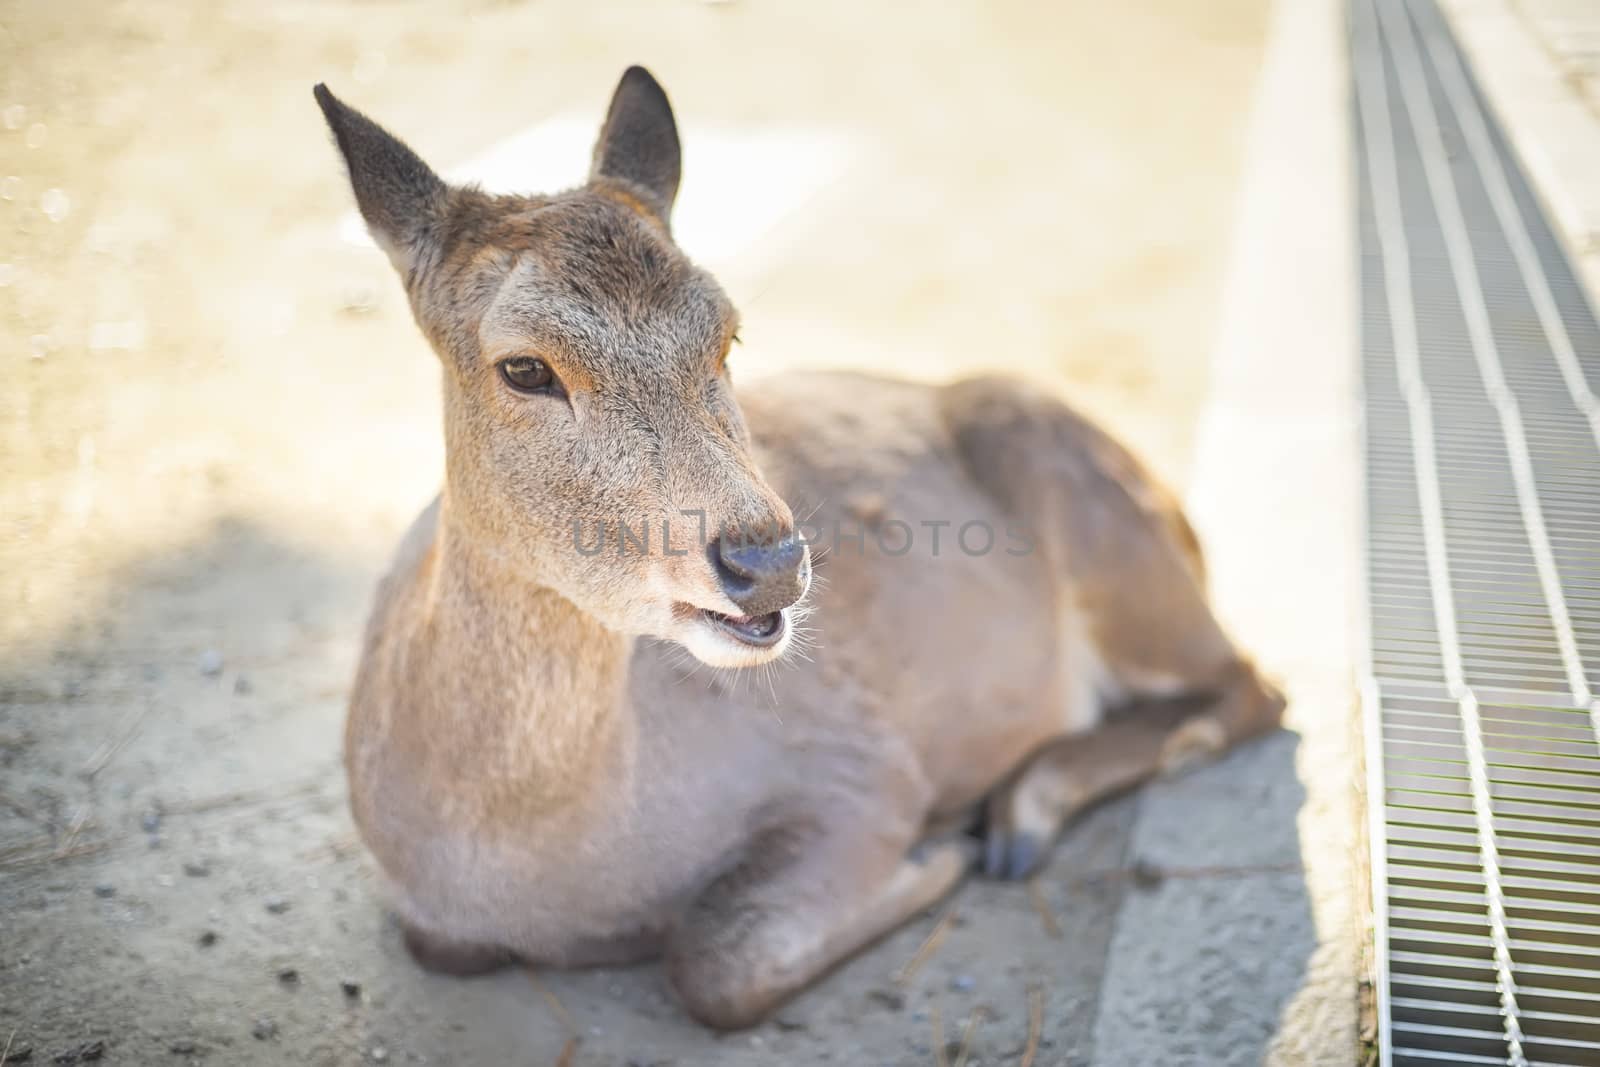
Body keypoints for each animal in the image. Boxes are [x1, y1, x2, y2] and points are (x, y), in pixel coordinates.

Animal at [315, 68, 1286, 1036]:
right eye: (523, 367)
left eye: (728, 333)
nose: (769, 560)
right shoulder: (430, 915)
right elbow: (446, 945)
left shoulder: (860, 766)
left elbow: (715, 961)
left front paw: (933, 860)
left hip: (1107, 529)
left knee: (1254, 683)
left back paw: (1017, 819)